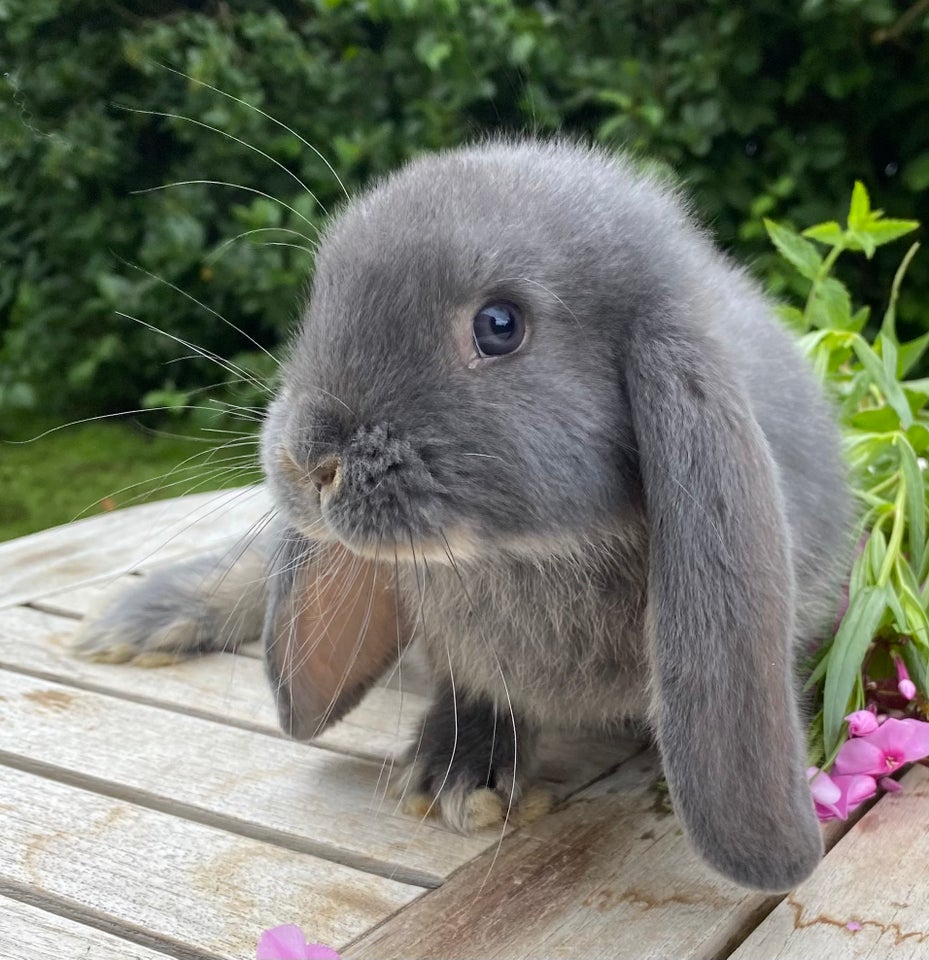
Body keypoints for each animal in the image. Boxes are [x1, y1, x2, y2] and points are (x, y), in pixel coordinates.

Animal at [72, 137, 848, 892]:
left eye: (499, 325)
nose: (308, 461)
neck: (531, 555)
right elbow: (472, 686)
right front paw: (459, 774)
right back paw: (139, 623)